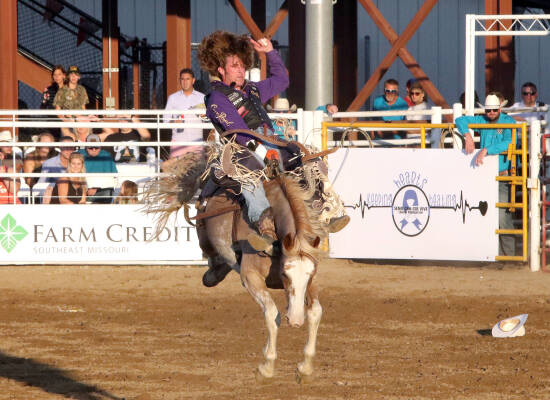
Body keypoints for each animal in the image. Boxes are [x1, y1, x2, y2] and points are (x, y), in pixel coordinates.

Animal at [198, 176, 328, 382]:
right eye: (285, 274)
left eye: (311, 274)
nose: (296, 321)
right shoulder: (250, 277)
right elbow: (272, 314)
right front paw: (267, 365)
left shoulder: (311, 281)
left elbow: (315, 312)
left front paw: (305, 366)